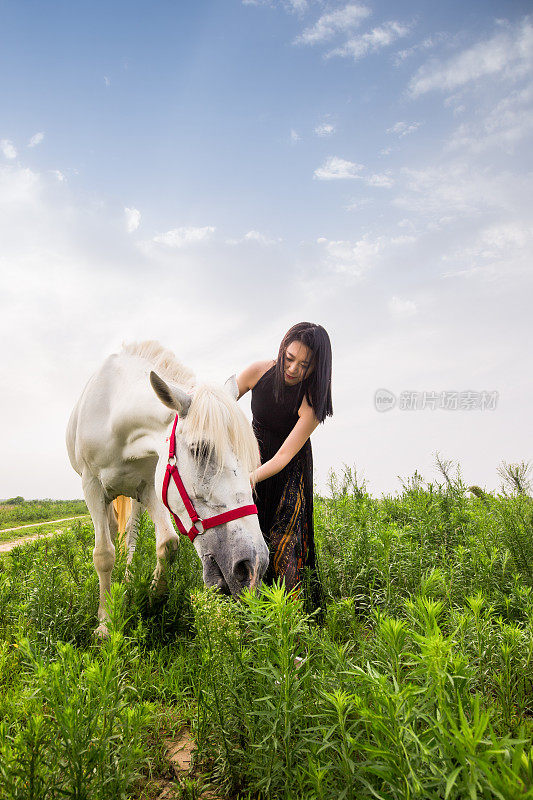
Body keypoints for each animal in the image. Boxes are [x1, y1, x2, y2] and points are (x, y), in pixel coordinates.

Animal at [67, 340, 266, 636]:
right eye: (200, 449)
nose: (254, 565)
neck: (116, 418)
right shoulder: (90, 485)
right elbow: (103, 554)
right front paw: (104, 622)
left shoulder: (151, 487)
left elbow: (168, 544)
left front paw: (152, 600)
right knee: (113, 533)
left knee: (131, 538)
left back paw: (128, 581)